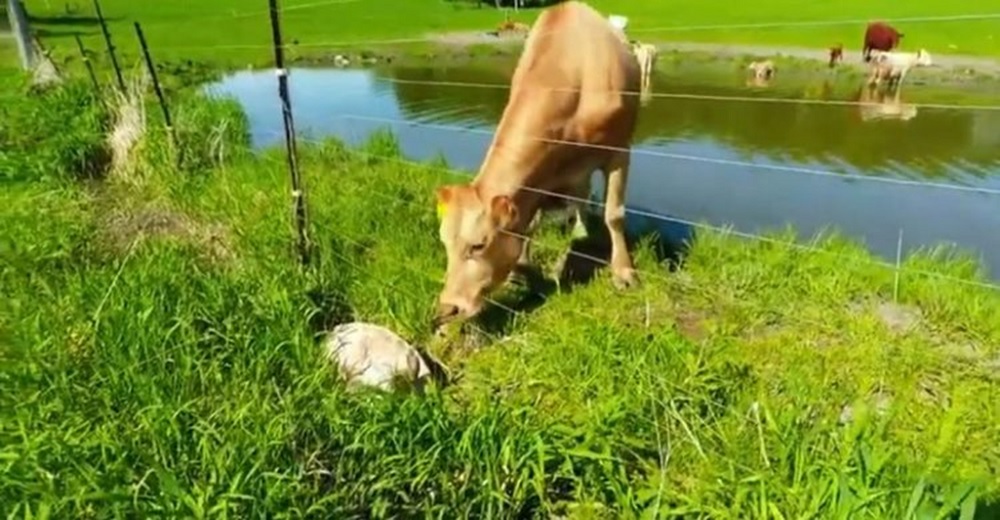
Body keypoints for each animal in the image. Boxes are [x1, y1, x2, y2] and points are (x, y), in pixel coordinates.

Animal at [430, 1, 640, 330]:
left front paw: (623, 272)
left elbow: (614, 215)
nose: (448, 308)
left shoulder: (619, 151)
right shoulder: (540, 173)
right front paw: (522, 268)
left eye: (478, 245)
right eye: (444, 243)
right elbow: (529, 223)